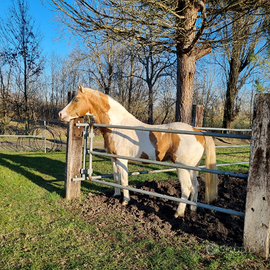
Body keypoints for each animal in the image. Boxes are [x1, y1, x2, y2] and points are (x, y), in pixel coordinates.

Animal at [59, 85, 217, 216]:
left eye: (76, 99)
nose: (61, 114)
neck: (118, 125)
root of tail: (198, 132)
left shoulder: (122, 160)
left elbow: (124, 180)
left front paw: (125, 201)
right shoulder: (113, 158)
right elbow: (116, 178)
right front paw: (116, 195)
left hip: (182, 168)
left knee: (186, 187)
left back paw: (178, 213)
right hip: (192, 168)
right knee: (195, 186)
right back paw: (192, 209)